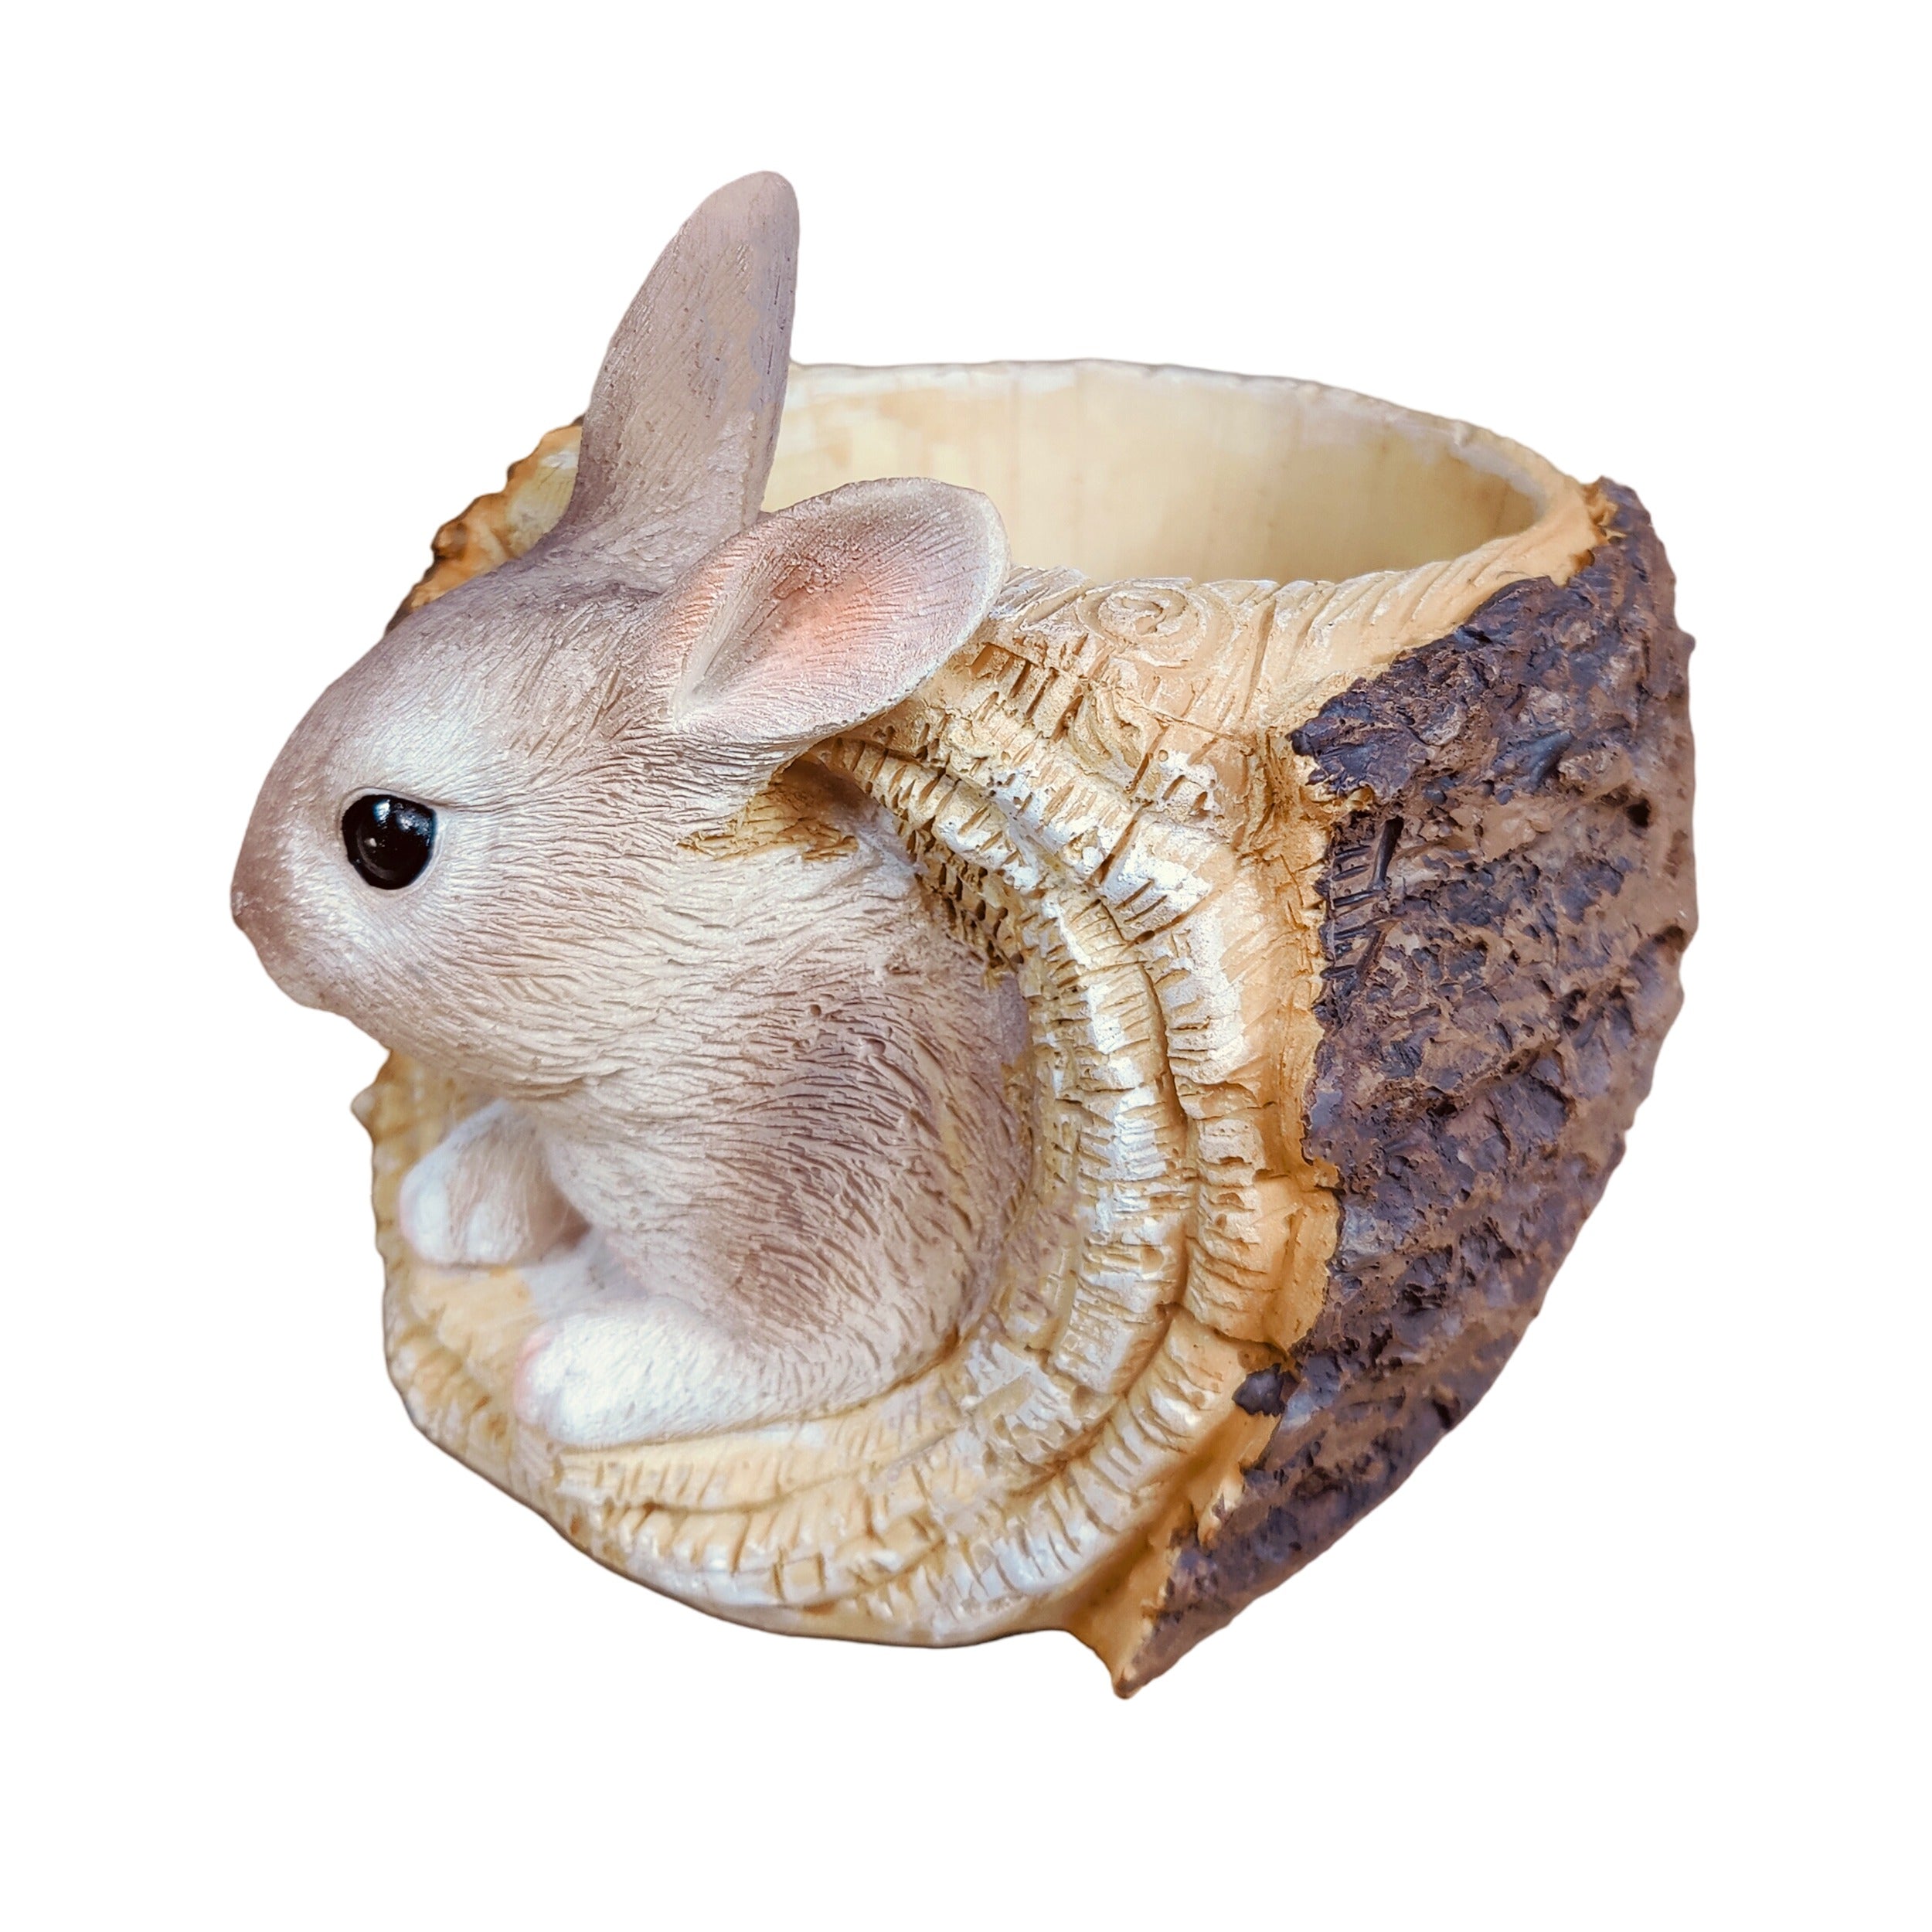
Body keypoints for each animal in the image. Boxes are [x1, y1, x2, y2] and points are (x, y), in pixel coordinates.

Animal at [232, 173, 1031, 1448]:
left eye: (387, 840)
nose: (245, 911)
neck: (678, 1007)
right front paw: (449, 1201)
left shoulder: (855, 1223)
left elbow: (785, 1360)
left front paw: (572, 1373)